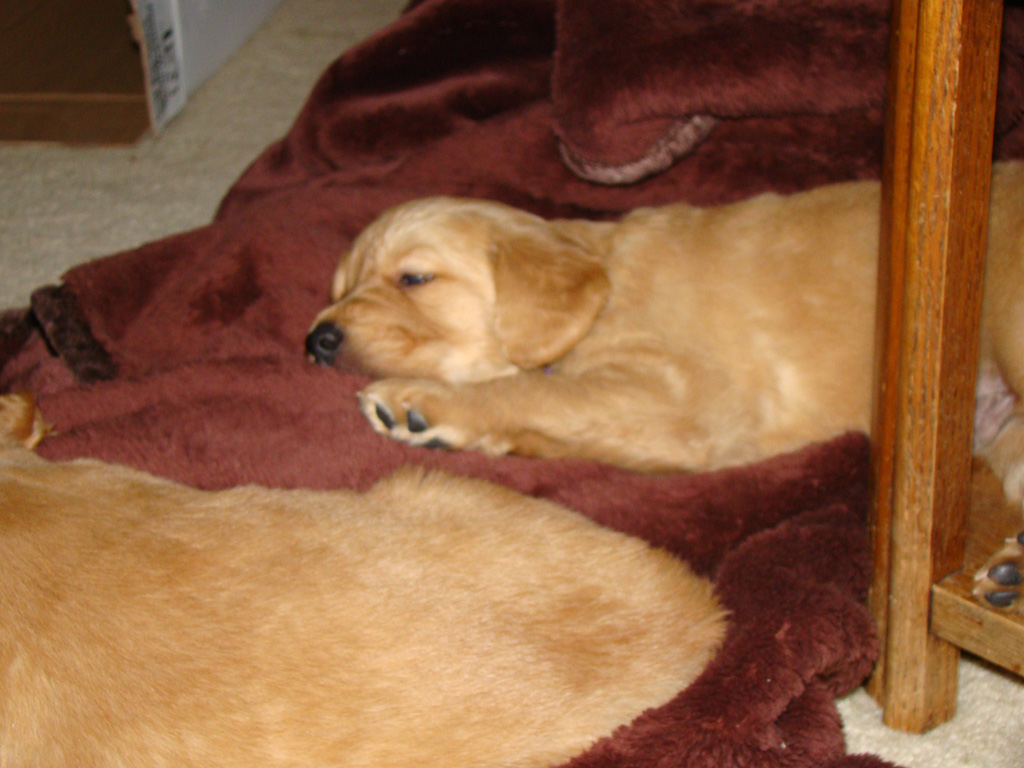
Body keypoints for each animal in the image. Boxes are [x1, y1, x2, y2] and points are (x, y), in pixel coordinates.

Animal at [305, 165, 1024, 610]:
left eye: (414, 278)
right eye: (340, 287)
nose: (316, 341)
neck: (602, 284)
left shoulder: (687, 397)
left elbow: (536, 393)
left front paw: (421, 402)